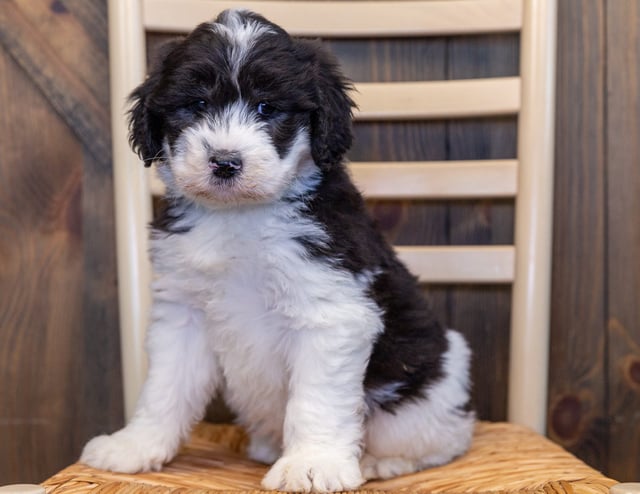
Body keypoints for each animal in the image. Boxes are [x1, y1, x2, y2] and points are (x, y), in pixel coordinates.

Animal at [81, 9, 476, 492]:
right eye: (196, 105)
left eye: (267, 108)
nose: (225, 162)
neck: (240, 216)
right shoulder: (183, 312)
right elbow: (163, 388)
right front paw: (135, 446)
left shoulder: (329, 312)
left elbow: (316, 400)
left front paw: (313, 463)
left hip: (428, 387)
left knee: (441, 440)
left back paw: (382, 462)